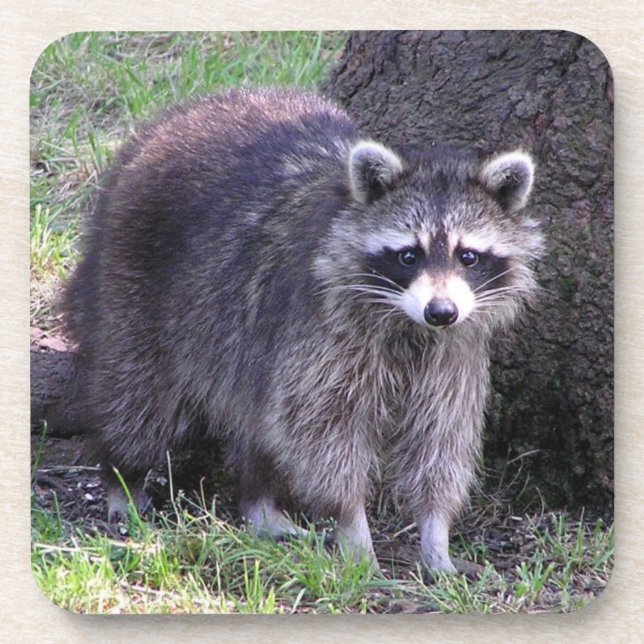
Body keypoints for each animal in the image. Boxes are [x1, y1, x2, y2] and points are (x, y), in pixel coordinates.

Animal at [63, 87, 543, 572]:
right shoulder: (322, 333)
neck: (405, 323)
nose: (441, 311)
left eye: (468, 256)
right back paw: (124, 476)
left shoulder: (453, 352)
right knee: (139, 398)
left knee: (260, 424)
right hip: (132, 285)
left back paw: (259, 502)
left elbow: (442, 438)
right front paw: (353, 526)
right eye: (409, 255)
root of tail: (168, 124)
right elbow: (321, 434)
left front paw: (436, 530)